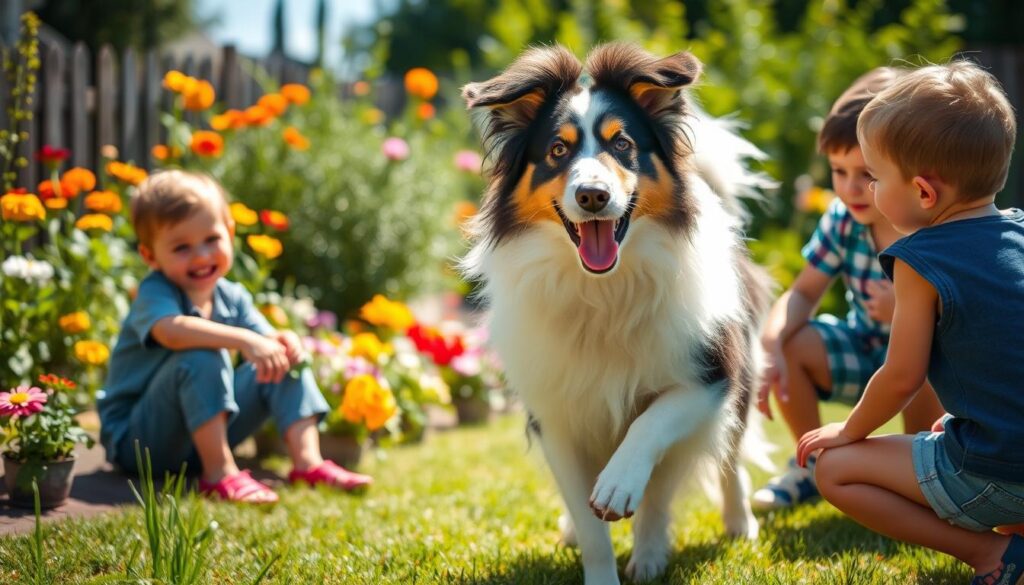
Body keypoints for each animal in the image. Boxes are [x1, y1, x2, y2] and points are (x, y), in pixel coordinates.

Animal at [462, 44, 770, 585]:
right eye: (557, 151)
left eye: (623, 143)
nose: (593, 196)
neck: (603, 290)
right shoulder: (554, 414)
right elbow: (590, 525)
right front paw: (601, 564)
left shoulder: (710, 375)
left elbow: (652, 433)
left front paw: (630, 516)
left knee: (724, 457)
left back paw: (731, 525)